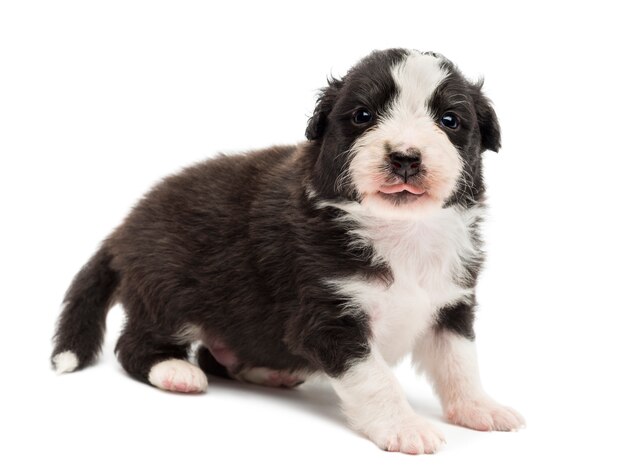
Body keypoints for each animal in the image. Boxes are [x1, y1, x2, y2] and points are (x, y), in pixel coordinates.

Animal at [52, 49, 520, 456]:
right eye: (363, 115)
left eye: (449, 120)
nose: (405, 157)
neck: (400, 231)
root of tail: (124, 228)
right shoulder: (327, 317)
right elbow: (375, 378)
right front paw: (404, 426)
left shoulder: (451, 304)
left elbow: (459, 362)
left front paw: (479, 407)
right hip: (166, 292)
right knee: (134, 346)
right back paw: (175, 371)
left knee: (218, 353)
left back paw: (267, 369)